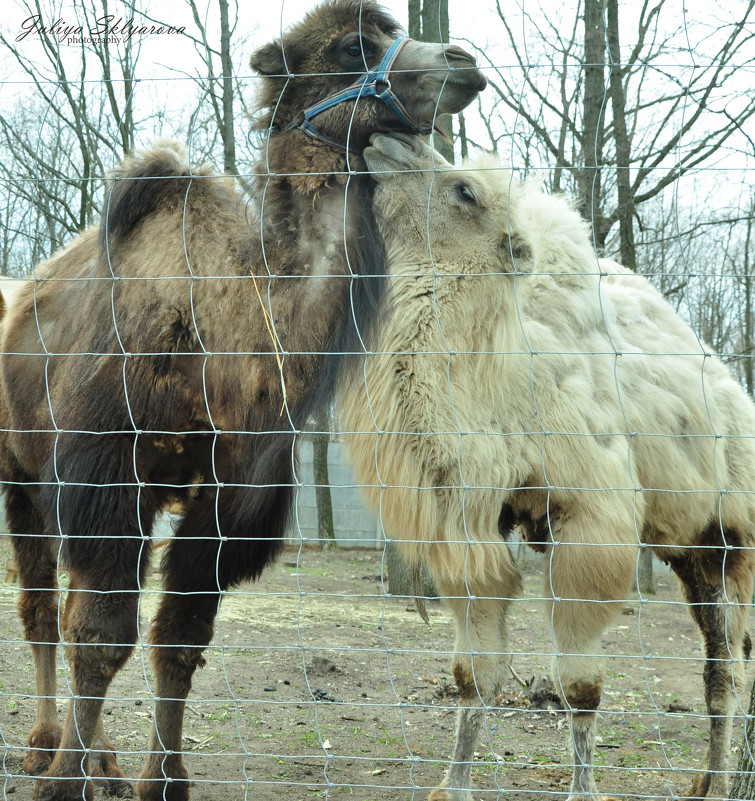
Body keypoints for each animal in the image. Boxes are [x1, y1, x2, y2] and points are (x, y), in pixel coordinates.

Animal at [0, 3, 484, 796]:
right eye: (353, 46)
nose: (463, 61)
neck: (220, 329)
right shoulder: (106, 471)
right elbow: (100, 638)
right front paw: (63, 780)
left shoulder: (231, 493)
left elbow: (178, 640)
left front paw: (160, 779)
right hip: (22, 469)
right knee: (45, 605)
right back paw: (48, 747)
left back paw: (103, 760)